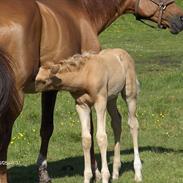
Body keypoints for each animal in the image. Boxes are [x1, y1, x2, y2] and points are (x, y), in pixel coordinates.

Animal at [35, 48, 142, 183]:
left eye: (43, 81)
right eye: (36, 77)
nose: (32, 89)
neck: (85, 75)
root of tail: (124, 53)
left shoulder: (100, 101)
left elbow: (101, 137)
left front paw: (105, 177)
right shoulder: (81, 105)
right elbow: (86, 139)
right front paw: (88, 177)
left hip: (129, 93)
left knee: (133, 124)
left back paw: (138, 173)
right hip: (111, 98)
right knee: (116, 122)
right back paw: (116, 172)